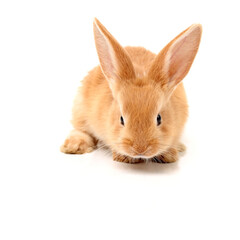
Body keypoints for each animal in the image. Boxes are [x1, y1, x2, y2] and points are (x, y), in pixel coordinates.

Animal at [61, 18, 202, 163]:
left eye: (159, 119)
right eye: (121, 119)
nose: (140, 149)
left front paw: (169, 155)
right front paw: (124, 157)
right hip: (80, 108)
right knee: (80, 129)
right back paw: (74, 146)